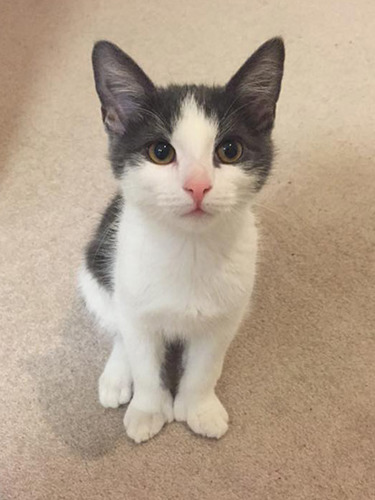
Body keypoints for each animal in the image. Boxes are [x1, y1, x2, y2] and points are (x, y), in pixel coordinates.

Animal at [79, 38, 284, 442]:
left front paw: (199, 407)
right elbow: (142, 356)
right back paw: (116, 377)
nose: (198, 186)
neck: (189, 248)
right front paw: (147, 409)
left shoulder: (226, 314)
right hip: (95, 271)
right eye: (160, 152)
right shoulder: (134, 302)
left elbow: (206, 366)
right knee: (118, 325)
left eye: (230, 150)